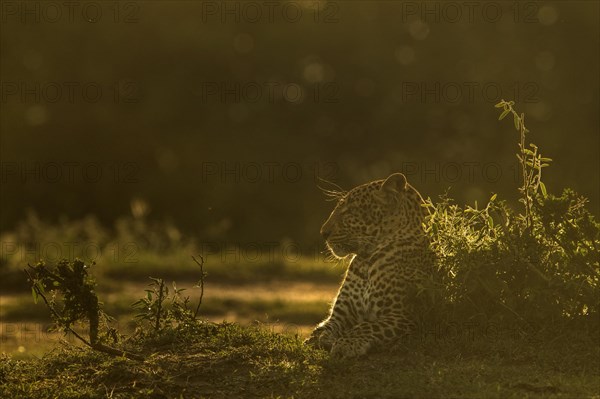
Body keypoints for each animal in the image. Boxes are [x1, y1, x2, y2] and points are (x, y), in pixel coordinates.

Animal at [304, 172, 432, 360]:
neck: (365, 263)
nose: (323, 233)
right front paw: (317, 337)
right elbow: (327, 325)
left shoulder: (404, 315)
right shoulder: (341, 314)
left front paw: (345, 344)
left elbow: (367, 326)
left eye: (349, 211)